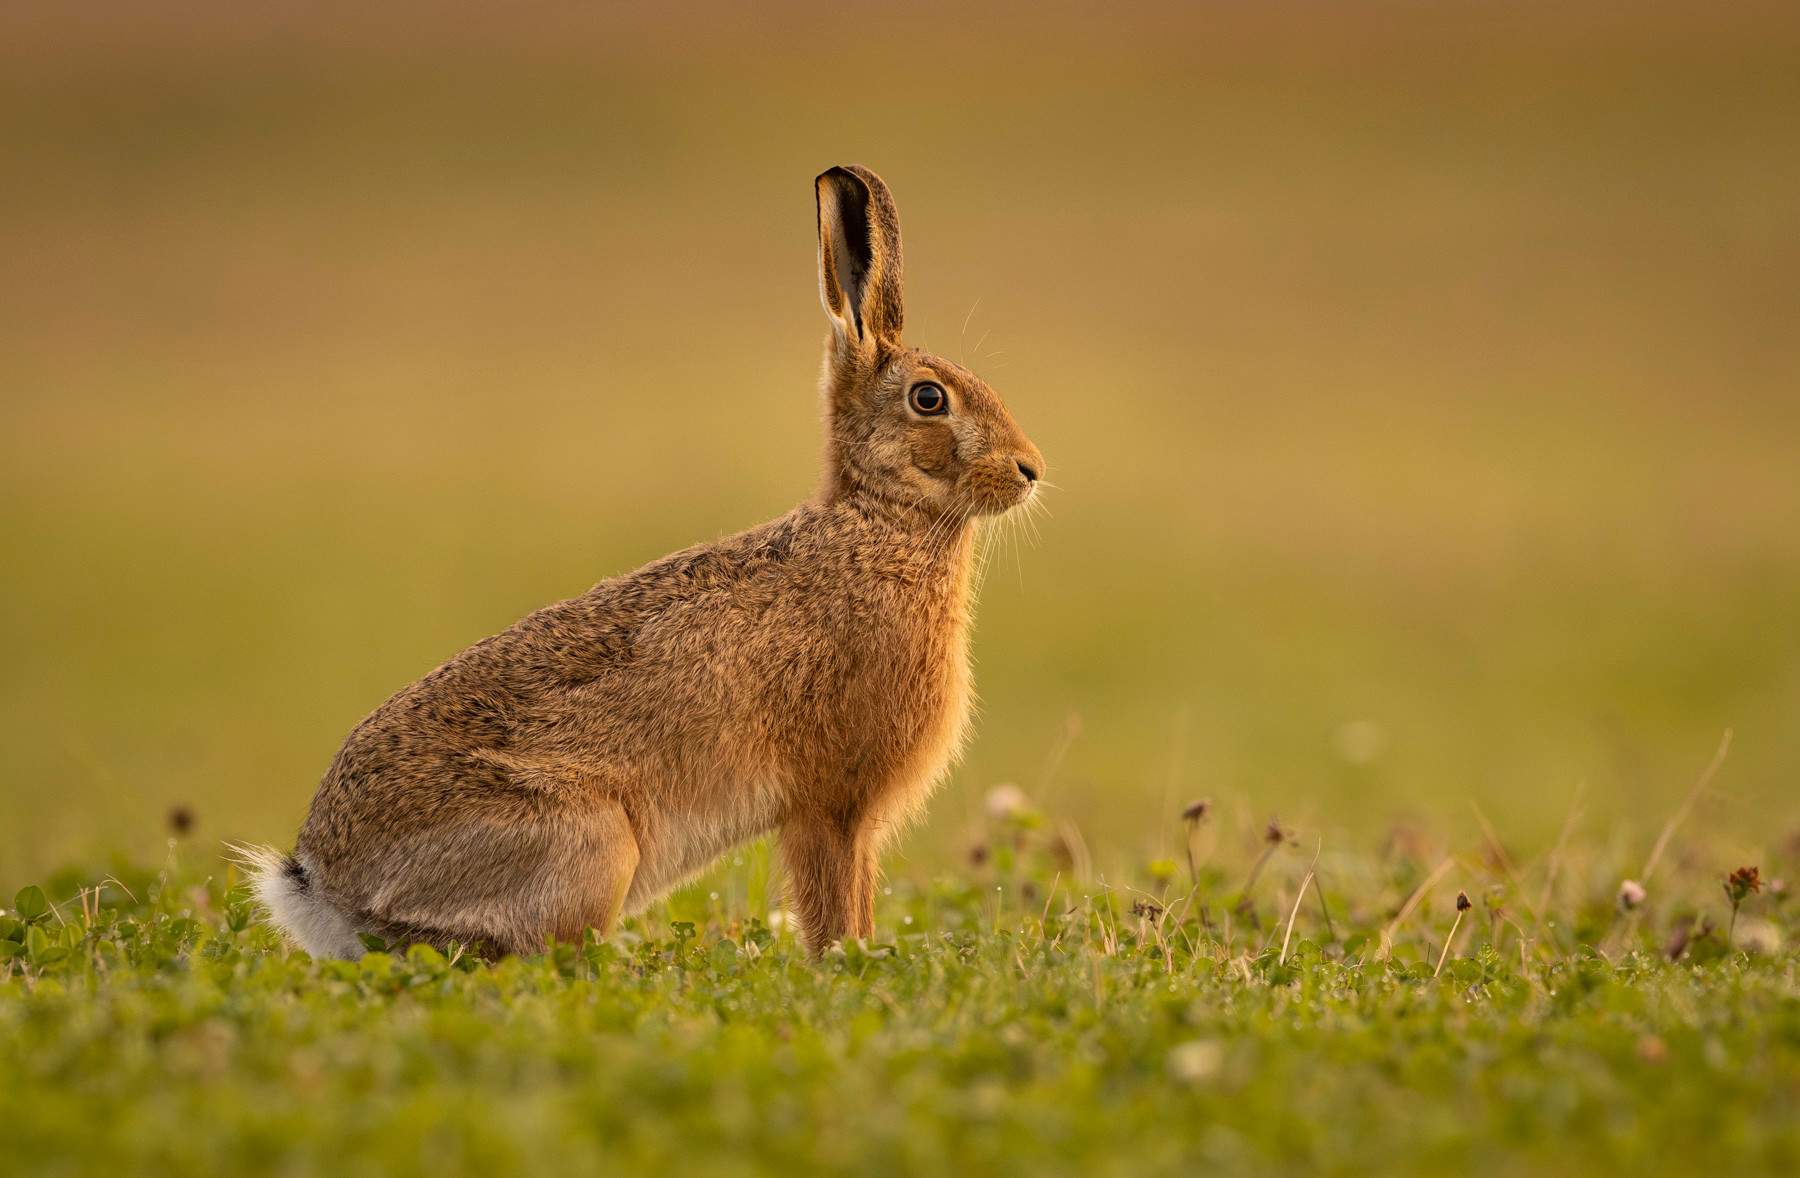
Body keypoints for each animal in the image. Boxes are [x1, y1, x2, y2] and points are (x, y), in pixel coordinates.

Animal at [243, 165, 1044, 959]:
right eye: (929, 399)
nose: (1030, 469)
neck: (881, 520)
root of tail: (320, 886)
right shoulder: (831, 802)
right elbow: (835, 907)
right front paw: (845, 966)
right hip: (592, 845)